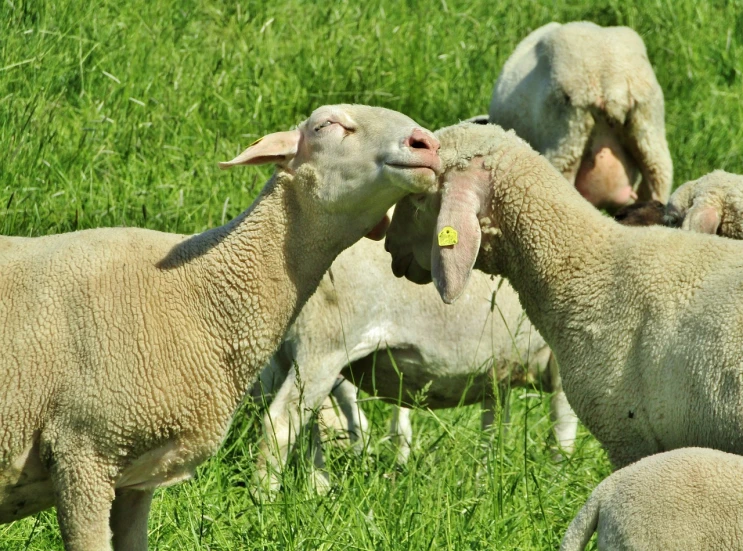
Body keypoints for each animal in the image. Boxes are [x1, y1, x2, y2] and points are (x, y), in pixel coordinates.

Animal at [250, 237, 576, 496]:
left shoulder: (497, 373)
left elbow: (493, 432)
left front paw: (484, 485)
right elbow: (562, 437)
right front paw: (558, 488)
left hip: (292, 354)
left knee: (309, 424)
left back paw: (319, 491)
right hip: (323, 344)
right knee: (281, 423)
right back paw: (265, 500)